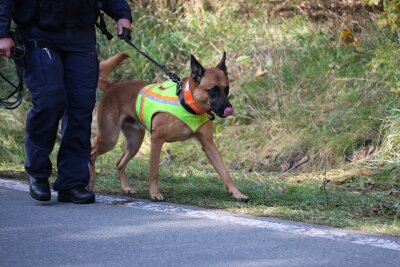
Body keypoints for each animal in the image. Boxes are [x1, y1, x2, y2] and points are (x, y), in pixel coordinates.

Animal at [89, 52, 248, 203]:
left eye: (226, 89)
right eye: (212, 90)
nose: (229, 109)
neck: (187, 104)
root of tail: (112, 85)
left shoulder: (209, 145)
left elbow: (225, 172)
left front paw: (237, 194)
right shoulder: (157, 140)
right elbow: (154, 171)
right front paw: (154, 193)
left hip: (134, 143)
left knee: (119, 163)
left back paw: (126, 188)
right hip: (109, 138)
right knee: (92, 153)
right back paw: (90, 183)